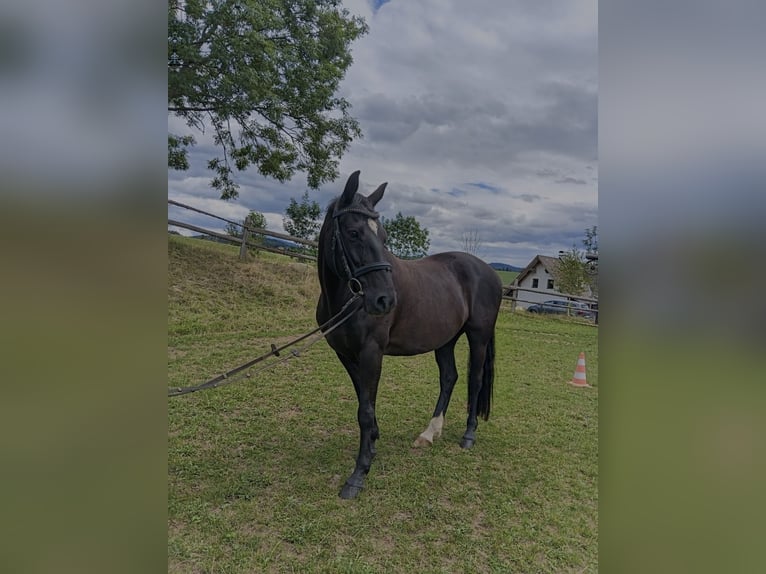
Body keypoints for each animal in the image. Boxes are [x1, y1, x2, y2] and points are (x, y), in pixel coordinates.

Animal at [316, 171, 503, 499]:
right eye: (353, 233)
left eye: (384, 237)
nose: (385, 300)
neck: (344, 298)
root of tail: (490, 272)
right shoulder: (345, 355)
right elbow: (364, 401)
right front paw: (373, 444)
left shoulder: (371, 352)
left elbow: (365, 410)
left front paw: (358, 475)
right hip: (445, 340)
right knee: (449, 377)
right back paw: (430, 433)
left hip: (478, 337)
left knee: (475, 380)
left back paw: (468, 435)